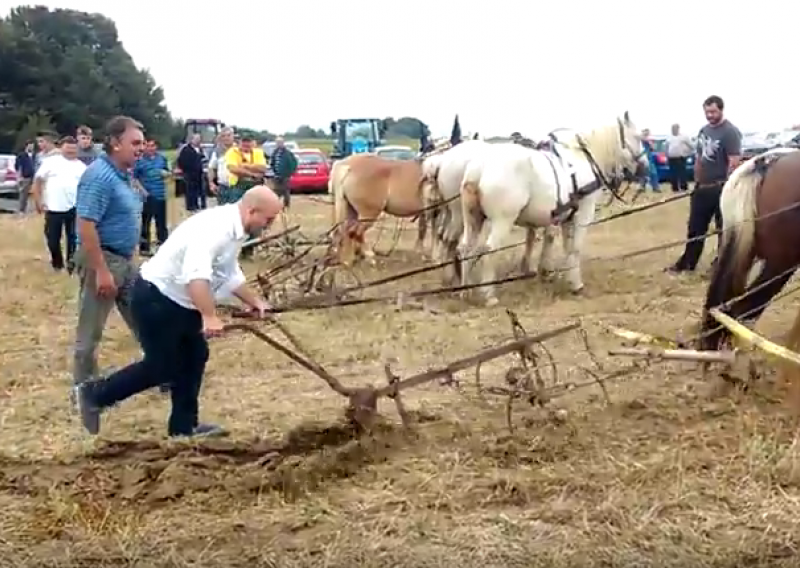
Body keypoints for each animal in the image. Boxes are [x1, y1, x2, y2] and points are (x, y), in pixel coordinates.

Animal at [456, 112, 648, 306]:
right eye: (638, 137)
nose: (645, 166)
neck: (583, 159)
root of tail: (480, 167)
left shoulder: (566, 217)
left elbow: (566, 247)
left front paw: (564, 277)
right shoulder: (583, 213)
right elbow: (575, 247)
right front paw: (576, 285)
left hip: (473, 218)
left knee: (466, 248)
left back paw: (465, 290)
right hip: (503, 220)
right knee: (490, 249)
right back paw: (489, 295)